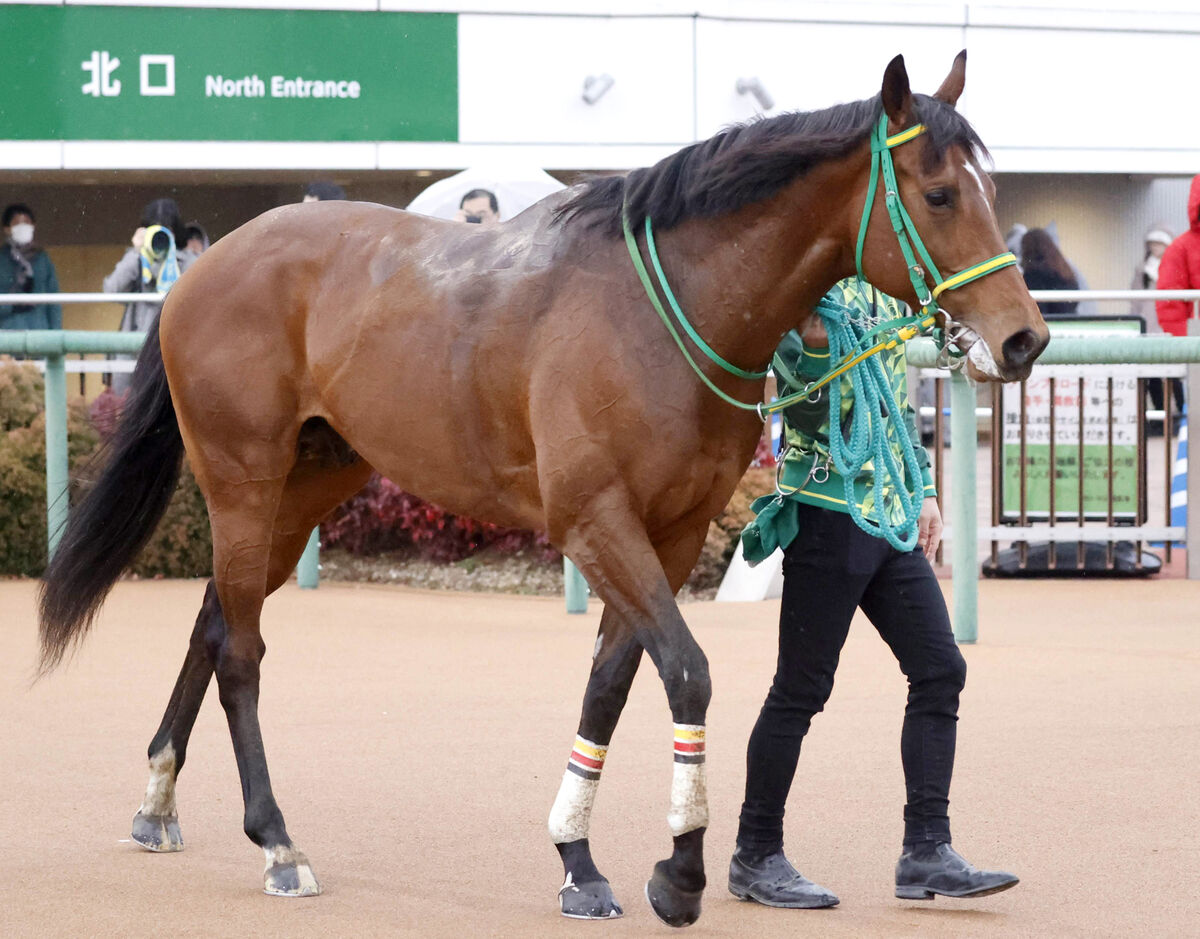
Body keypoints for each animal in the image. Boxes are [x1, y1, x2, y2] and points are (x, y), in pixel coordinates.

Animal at [39, 55, 1051, 931]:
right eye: (939, 193)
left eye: (994, 191)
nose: (1025, 338)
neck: (659, 311)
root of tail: (199, 271)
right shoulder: (595, 520)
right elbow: (687, 670)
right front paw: (680, 872)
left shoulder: (669, 532)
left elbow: (611, 683)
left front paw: (579, 860)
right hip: (243, 477)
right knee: (242, 650)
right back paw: (278, 842)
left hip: (309, 483)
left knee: (214, 618)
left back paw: (158, 799)